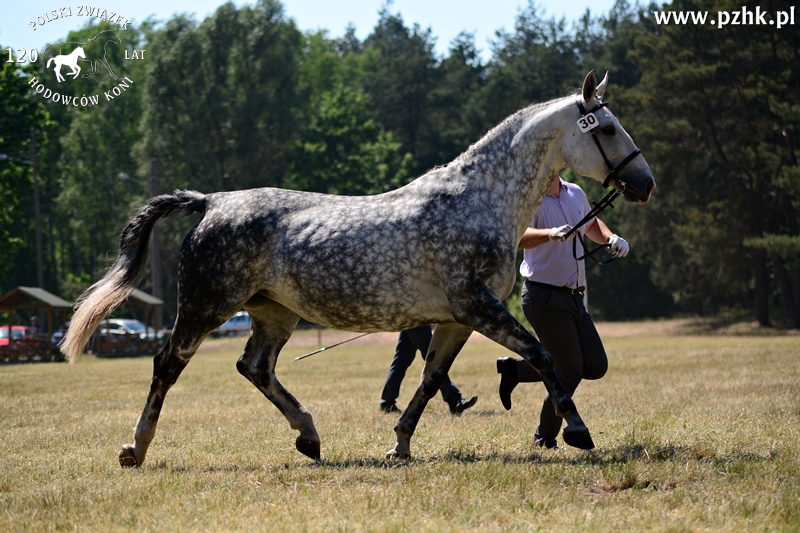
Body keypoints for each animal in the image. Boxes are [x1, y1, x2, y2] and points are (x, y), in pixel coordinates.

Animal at [61, 70, 648, 466]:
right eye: (607, 128)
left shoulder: (455, 319)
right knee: (167, 364)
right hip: (205, 306)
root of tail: (211, 202)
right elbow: (544, 357)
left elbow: (431, 380)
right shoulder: (478, 307)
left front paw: (400, 446)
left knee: (255, 367)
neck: (478, 202)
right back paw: (135, 449)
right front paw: (578, 431)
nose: (645, 183)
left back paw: (309, 436)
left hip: (273, 313)